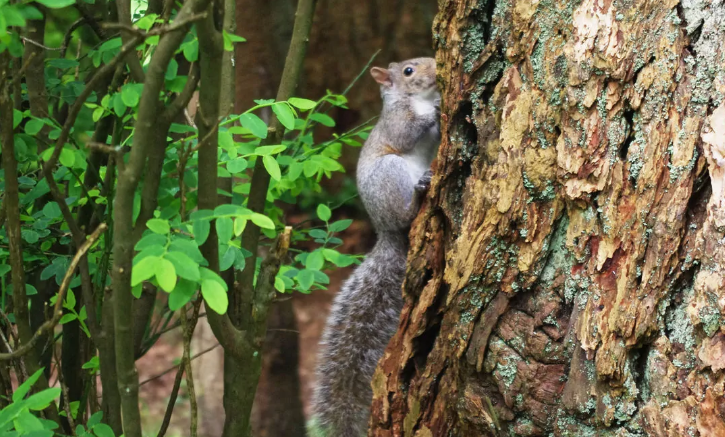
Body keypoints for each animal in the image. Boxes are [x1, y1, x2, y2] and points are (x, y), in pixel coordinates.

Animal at [308, 58, 438, 436]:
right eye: (408, 71)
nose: (436, 67)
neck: (418, 98)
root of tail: (386, 232)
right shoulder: (396, 120)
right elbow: (405, 133)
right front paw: (435, 111)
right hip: (390, 175)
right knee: (405, 211)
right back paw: (417, 196)